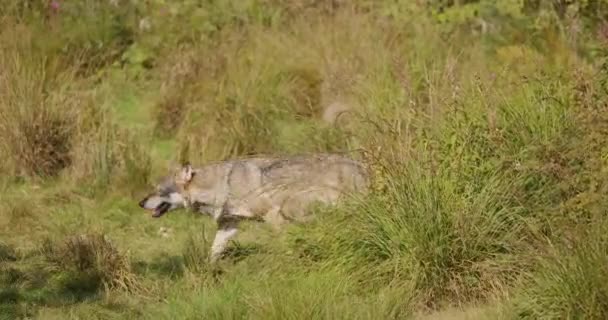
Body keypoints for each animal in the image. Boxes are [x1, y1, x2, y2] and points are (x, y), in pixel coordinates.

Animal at [138, 153, 368, 262]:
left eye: (158, 190)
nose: (140, 203)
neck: (222, 185)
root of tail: (360, 165)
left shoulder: (273, 216)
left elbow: (286, 247)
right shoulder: (228, 225)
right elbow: (214, 252)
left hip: (294, 209)